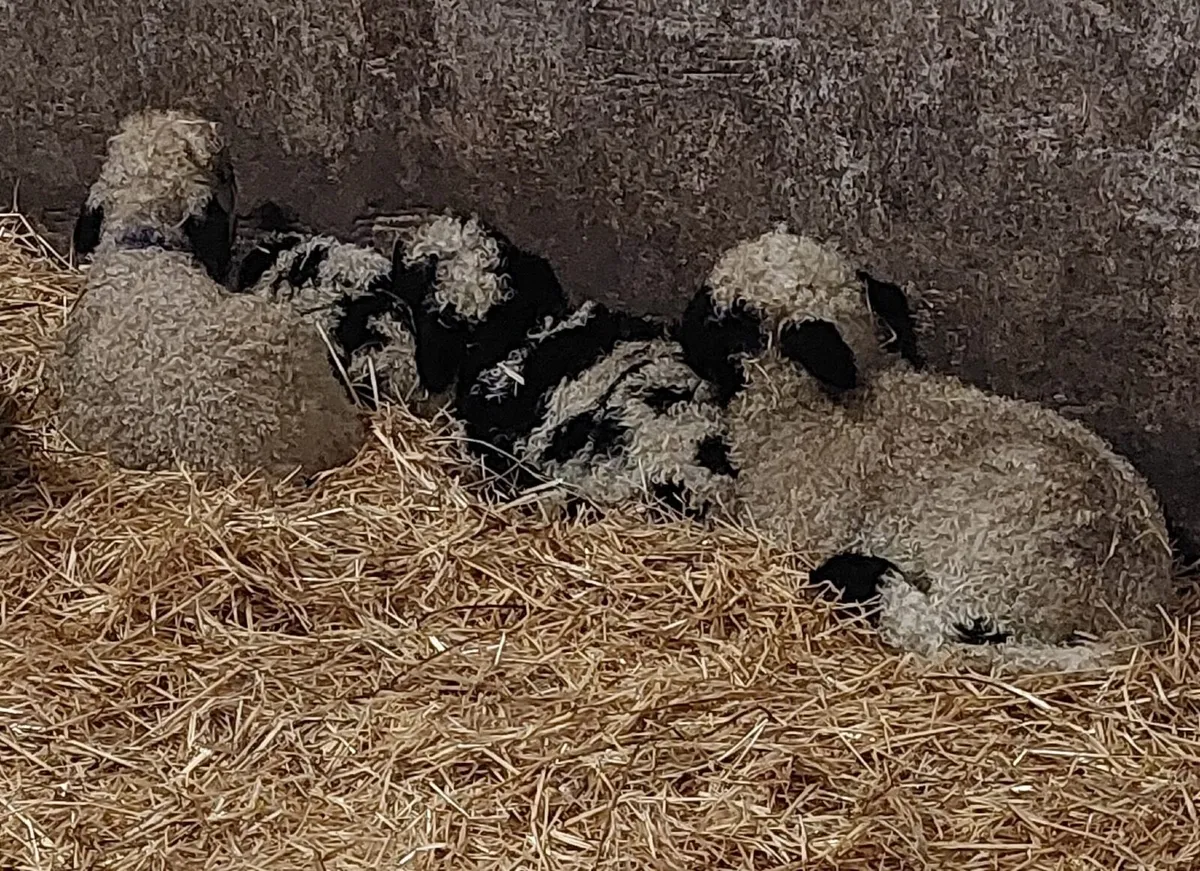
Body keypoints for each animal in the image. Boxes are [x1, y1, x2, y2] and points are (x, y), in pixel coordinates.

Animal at [678, 226, 1178, 671]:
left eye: (734, 317)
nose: (681, 332)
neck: (810, 407)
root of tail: (1140, 600)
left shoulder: (790, 522)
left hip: (1001, 568)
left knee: (951, 634)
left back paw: (863, 579)